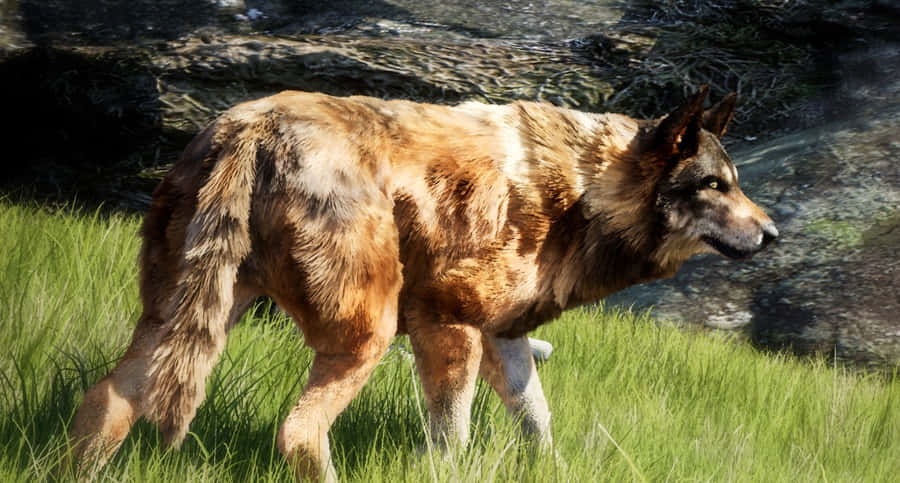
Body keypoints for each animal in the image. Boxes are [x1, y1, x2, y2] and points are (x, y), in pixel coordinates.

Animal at [68, 85, 777, 480]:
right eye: (715, 185)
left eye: (735, 181)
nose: (773, 235)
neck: (584, 193)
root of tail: (254, 126)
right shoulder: (450, 331)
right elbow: (451, 444)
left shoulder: (503, 341)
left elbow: (539, 424)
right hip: (367, 340)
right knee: (299, 435)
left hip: (177, 325)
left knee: (105, 402)